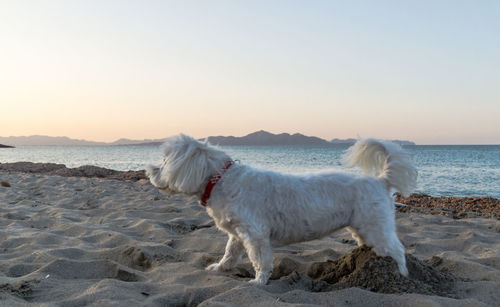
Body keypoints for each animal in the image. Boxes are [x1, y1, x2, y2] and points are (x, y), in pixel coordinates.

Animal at [146, 136, 418, 286]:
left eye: (165, 161)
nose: (149, 170)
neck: (221, 180)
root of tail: (380, 181)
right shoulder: (237, 233)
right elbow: (230, 253)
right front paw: (220, 268)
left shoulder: (255, 235)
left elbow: (260, 260)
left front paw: (258, 282)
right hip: (363, 226)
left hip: (376, 225)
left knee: (398, 250)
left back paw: (401, 275)